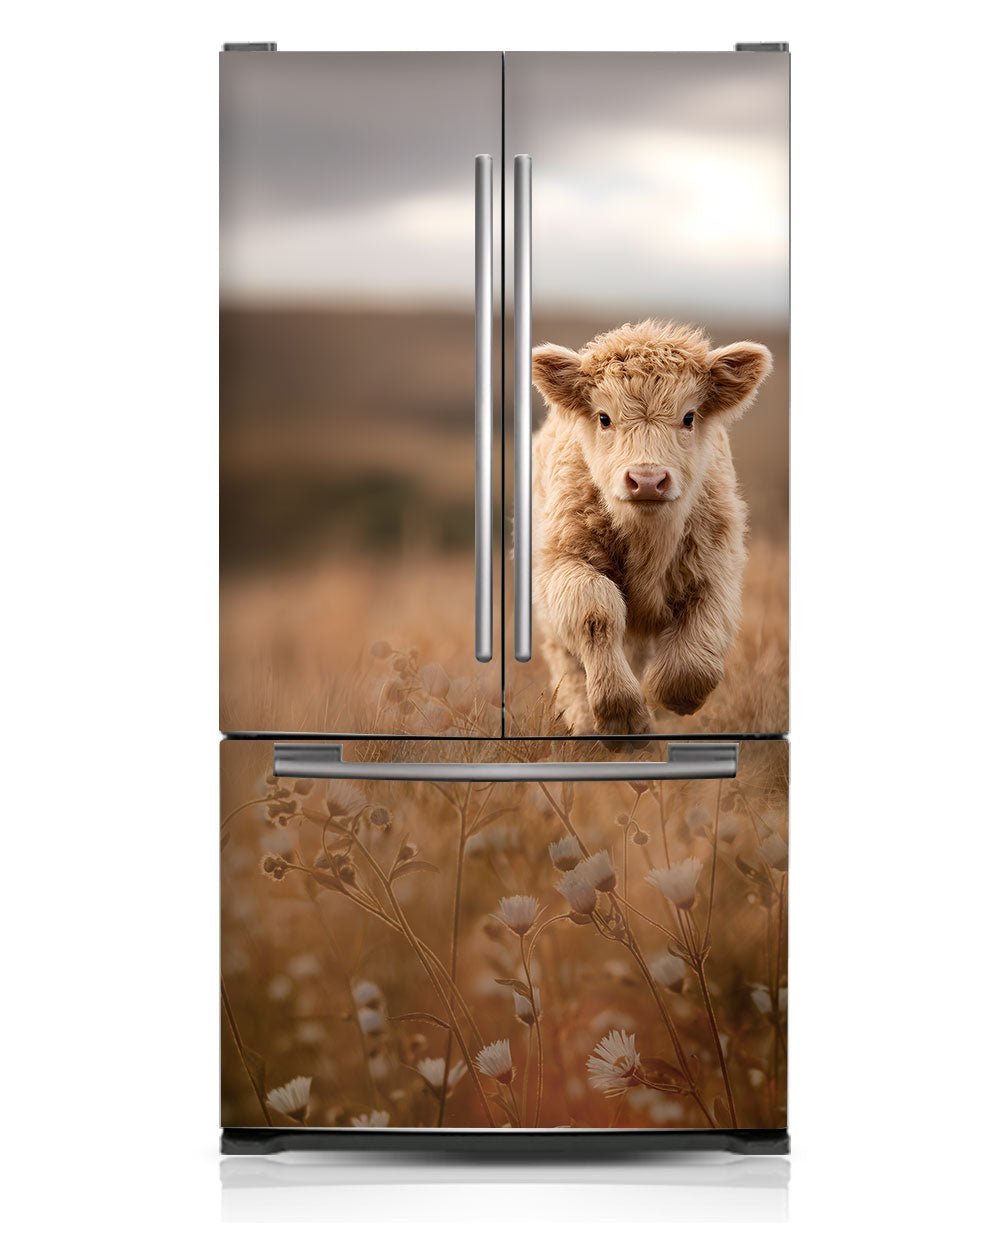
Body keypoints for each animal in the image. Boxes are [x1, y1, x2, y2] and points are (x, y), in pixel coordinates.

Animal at [530, 319, 772, 736]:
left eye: (689, 417)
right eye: (604, 417)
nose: (646, 480)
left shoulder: (716, 569)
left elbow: (694, 659)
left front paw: (661, 695)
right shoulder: (564, 563)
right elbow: (595, 611)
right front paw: (622, 714)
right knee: (569, 664)